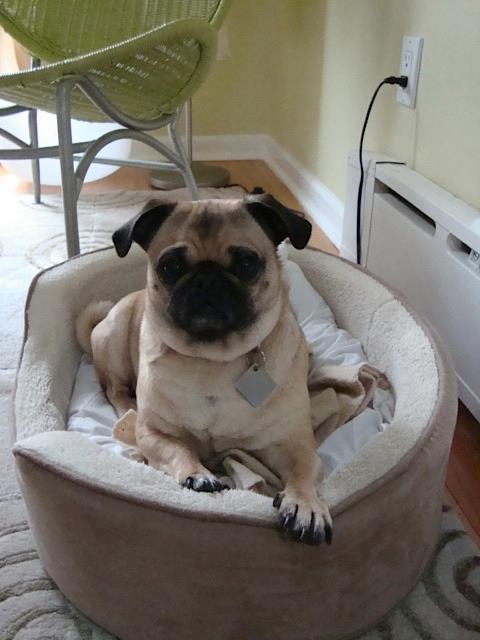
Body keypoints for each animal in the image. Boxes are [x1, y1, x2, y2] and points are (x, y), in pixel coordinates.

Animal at [78, 194, 334, 544]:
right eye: (171, 267)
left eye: (247, 264)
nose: (208, 278)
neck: (213, 362)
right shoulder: (153, 433)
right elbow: (178, 451)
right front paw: (198, 474)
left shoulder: (293, 443)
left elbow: (304, 470)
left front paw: (305, 504)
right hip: (114, 336)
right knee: (115, 390)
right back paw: (128, 406)